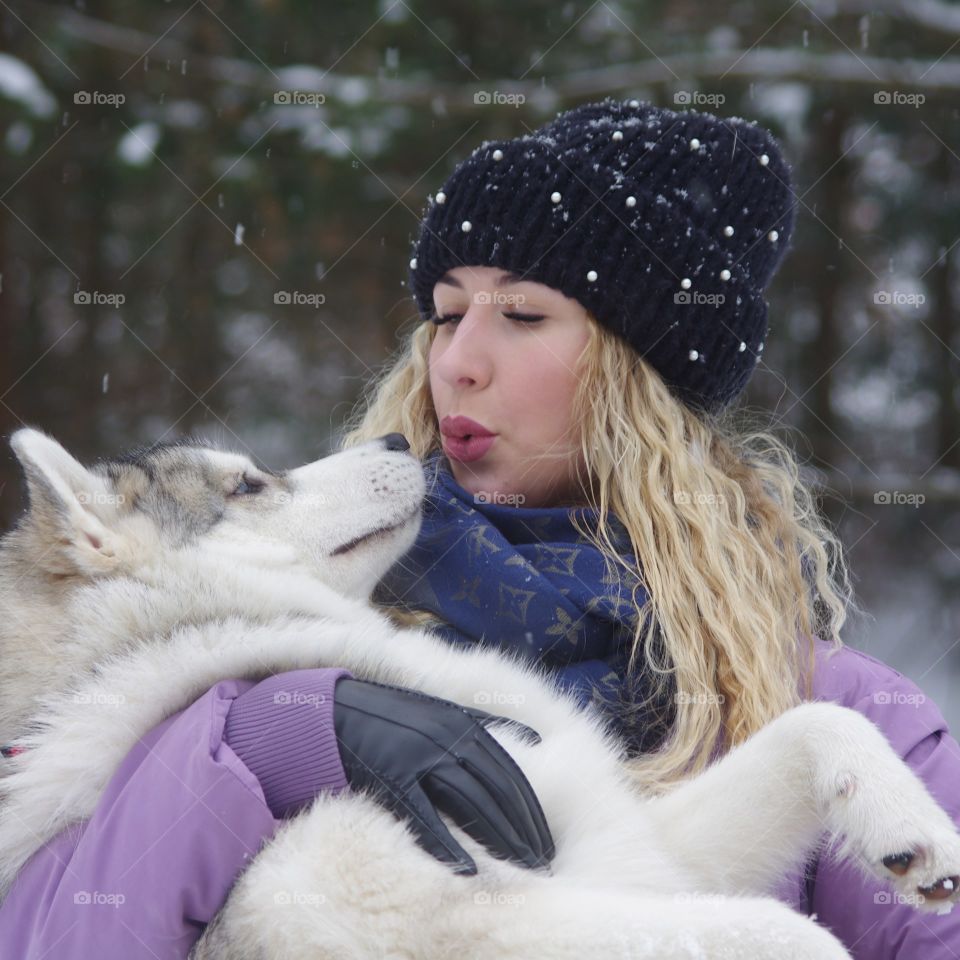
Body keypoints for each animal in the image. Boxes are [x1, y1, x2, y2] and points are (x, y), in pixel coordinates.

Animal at [1, 430, 960, 960]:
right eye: (246, 485)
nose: (398, 442)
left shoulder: (629, 845)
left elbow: (821, 720)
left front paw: (914, 832)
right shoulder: (487, 919)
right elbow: (794, 936)